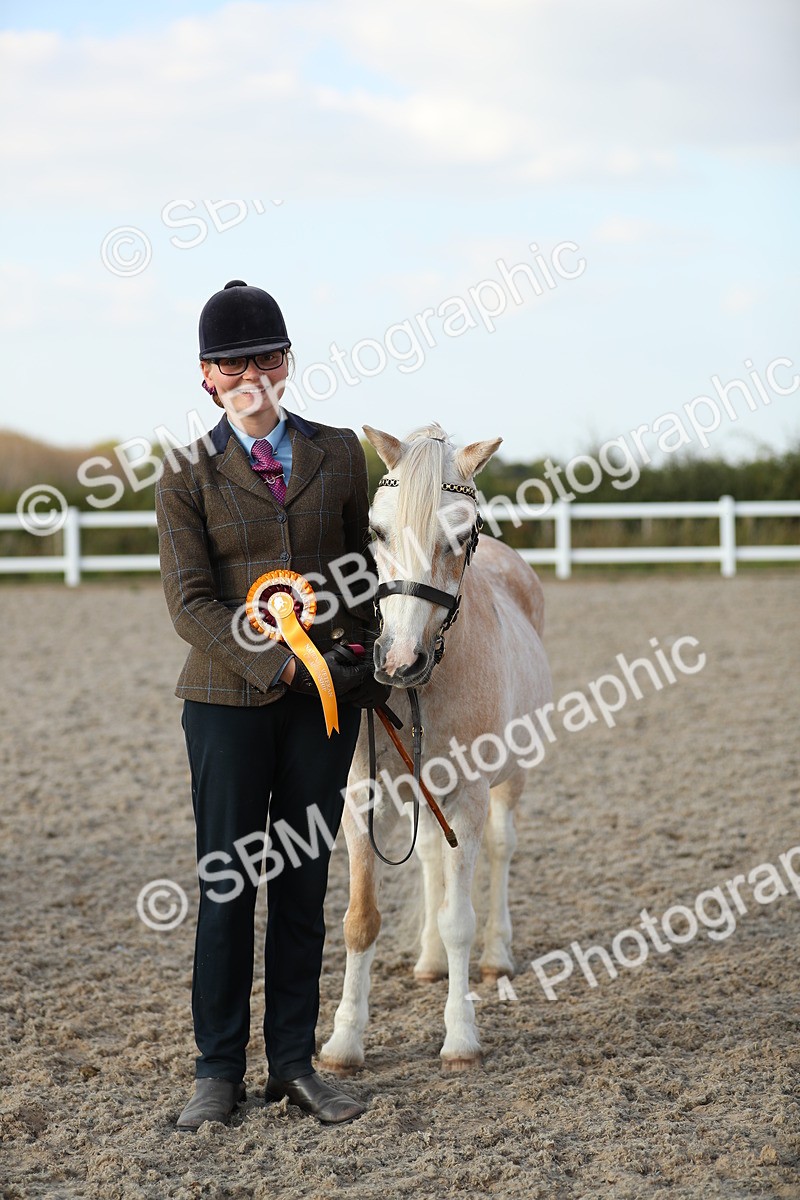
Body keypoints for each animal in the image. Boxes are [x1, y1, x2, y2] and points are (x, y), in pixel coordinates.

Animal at [319, 423, 553, 1071]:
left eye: (460, 534)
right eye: (375, 531)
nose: (399, 661)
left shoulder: (469, 797)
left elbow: (459, 921)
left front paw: (461, 1038)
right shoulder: (361, 796)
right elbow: (360, 920)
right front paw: (345, 1041)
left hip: (513, 779)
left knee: (501, 849)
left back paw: (498, 956)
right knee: (428, 859)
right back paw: (426, 963)